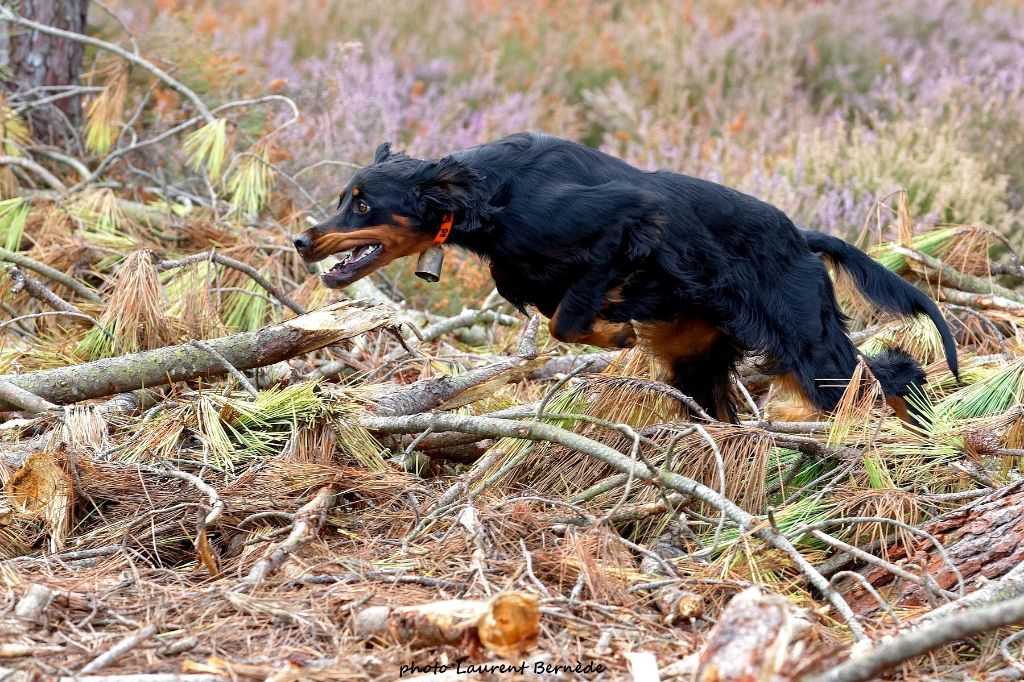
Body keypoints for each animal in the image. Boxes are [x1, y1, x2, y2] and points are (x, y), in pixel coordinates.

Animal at [292, 130, 954, 421]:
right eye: (345, 198)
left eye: (362, 204)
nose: (303, 239)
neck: (495, 194)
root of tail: (801, 238)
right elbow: (557, 312)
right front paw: (615, 327)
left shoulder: (626, 217)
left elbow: (567, 318)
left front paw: (615, 332)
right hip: (699, 364)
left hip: (811, 347)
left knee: (892, 375)